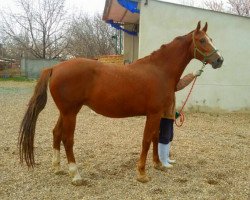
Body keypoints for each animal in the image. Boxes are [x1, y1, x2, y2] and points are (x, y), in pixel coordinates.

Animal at [18, 21, 224, 184]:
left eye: (211, 38)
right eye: (202, 40)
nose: (219, 60)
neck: (159, 70)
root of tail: (55, 67)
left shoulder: (157, 114)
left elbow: (155, 137)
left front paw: (158, 164)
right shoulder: (153, 114)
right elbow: (146, 140)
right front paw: (142, 174)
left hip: (66, 112)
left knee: (56, 133)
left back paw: (57, 167)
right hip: (70, 113)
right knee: (67, 139)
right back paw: (76, 175)